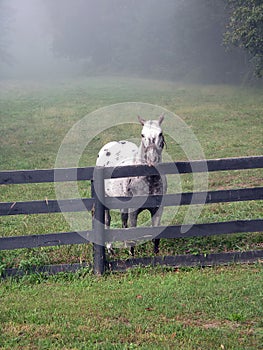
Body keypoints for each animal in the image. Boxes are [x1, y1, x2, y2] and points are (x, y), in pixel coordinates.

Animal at [96, 115, 167, 254]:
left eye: (160, 133)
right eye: (142, 134)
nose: (152, 160)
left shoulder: (158, 210)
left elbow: (156, 237)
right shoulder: (133, 211)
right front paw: (131, 254)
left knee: (123, 221)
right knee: (108, 220)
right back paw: (110, 249)